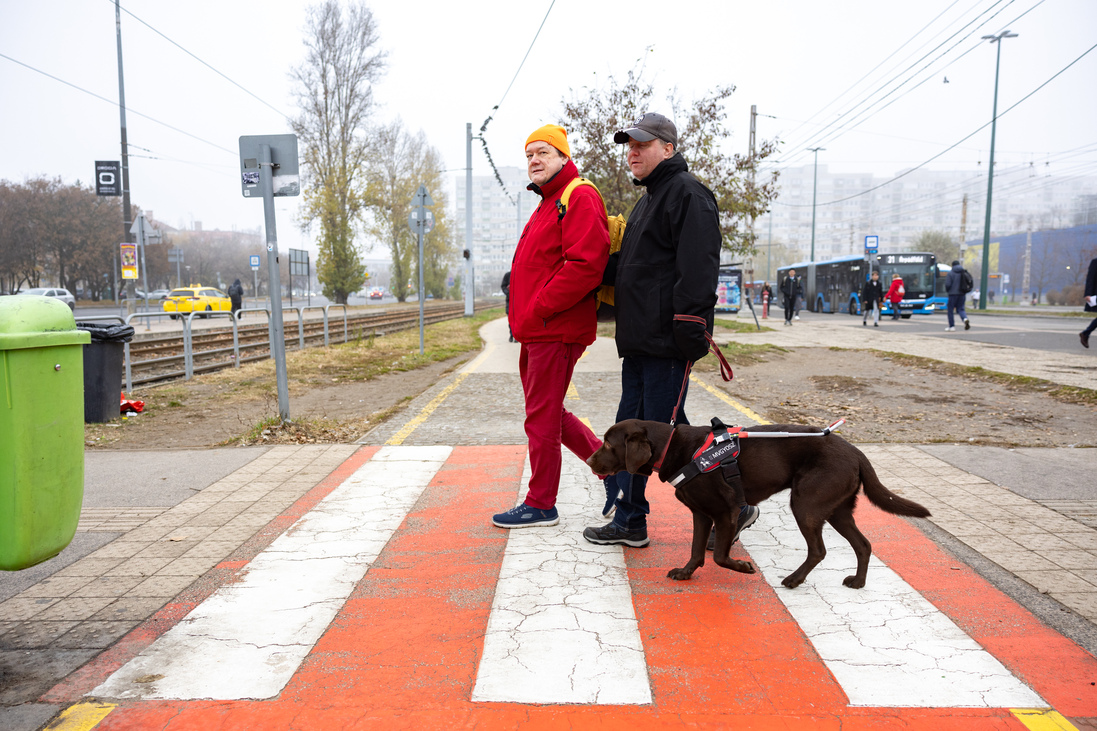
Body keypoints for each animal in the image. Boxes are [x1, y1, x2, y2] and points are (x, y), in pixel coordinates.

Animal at [587, 414, 930, 588]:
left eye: (608, 444)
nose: (589, 459)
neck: (674, 448)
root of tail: (856, 451)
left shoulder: (726, 511)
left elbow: (719, 556)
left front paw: (742, 567)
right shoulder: (702, 514)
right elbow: (697, 550)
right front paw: (686, 573)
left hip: (806, 504)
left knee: (819, 550)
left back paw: (794, 579)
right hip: (836, 509)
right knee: (863, 544)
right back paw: (858, 581)